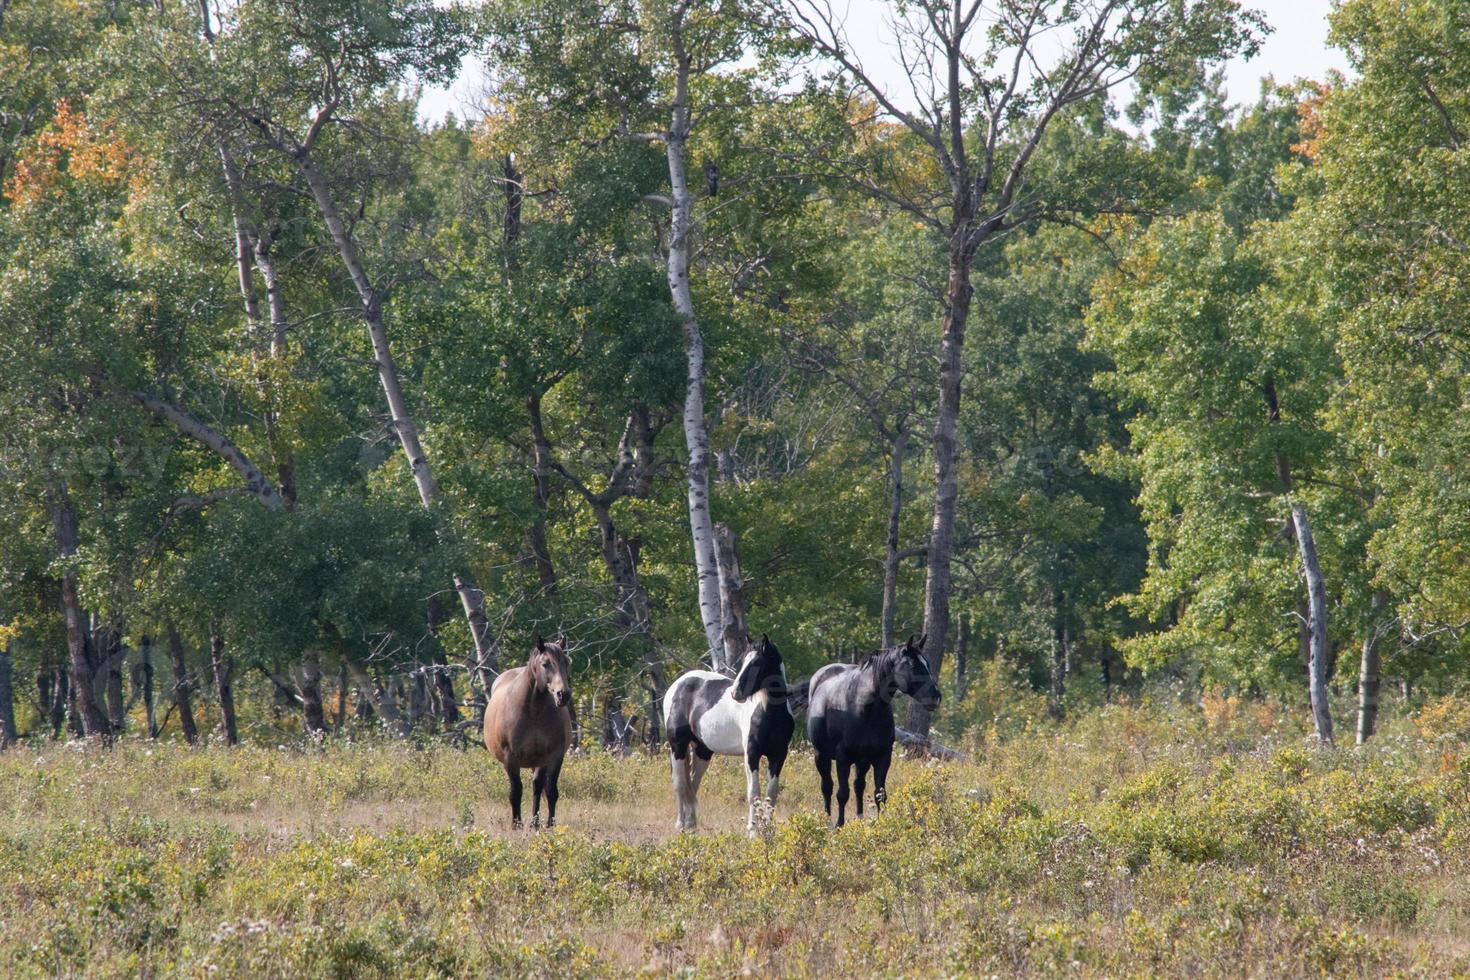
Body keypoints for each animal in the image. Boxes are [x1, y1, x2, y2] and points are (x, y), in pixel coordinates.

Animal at [485, 637, 570, 828]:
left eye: (567, 662)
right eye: (545, 664)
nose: (563, 694)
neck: (534, 711)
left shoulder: (554, 756)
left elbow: (551, 790)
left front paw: (550, 825)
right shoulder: (510, 759)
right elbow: (516, 791)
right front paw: (516, 825)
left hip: (540, 761)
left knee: (537, 786)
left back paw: (535, 823)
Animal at [664, 637, 793, 834]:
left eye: (757, 663)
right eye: (743, 661)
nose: (735, 693)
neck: (770, 714)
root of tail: (678, 684)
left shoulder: (778, 755)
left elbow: (771, 794)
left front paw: (768, 828)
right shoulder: (751, 755)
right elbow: (753, 792)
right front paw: (752, 830)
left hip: (702, 751)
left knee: (692, 784)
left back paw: (691, 824)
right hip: (677, 746)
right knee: (679, 783)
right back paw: (680, 825)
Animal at [805, 637, 940, 828]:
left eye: (927, 663)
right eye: (913, 666)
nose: (936, 697)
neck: (862, 706)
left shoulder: (882, 757)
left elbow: (880, 794)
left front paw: (882, 824)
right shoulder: (843, 758)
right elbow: (842, 793)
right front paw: (840, 825)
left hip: (862, 761)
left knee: (858, 785)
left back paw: (860, 818)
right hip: (821, 755)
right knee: (827, 787)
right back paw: (827, 820)